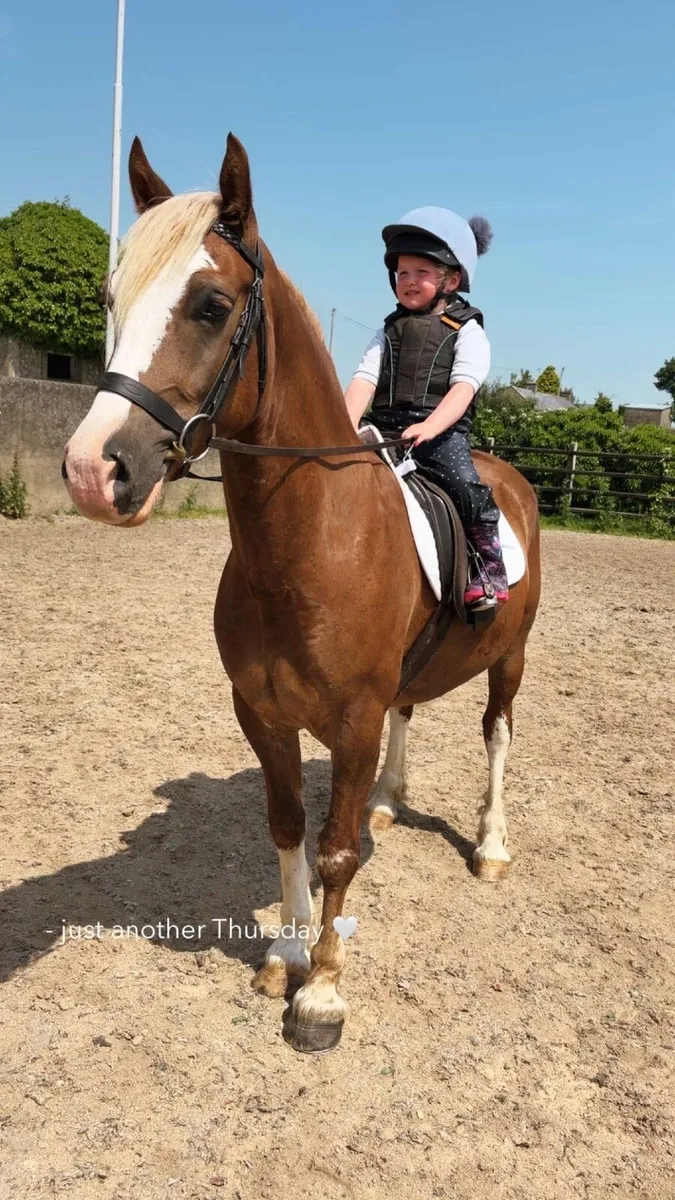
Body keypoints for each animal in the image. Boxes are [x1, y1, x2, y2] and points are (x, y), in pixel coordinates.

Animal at [62, 133, 541, 1054]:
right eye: (111, 297)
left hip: (511, 659)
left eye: (211, 305)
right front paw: (285, 954)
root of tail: (508, 477)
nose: (92, 472)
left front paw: (321, 993)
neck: (310, 545)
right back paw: (389, 802)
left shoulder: (349, 720)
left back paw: (492, 848)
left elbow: (335, 852)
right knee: (408, 714)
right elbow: (287, 829)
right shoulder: (262, 712)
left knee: (497, 738)